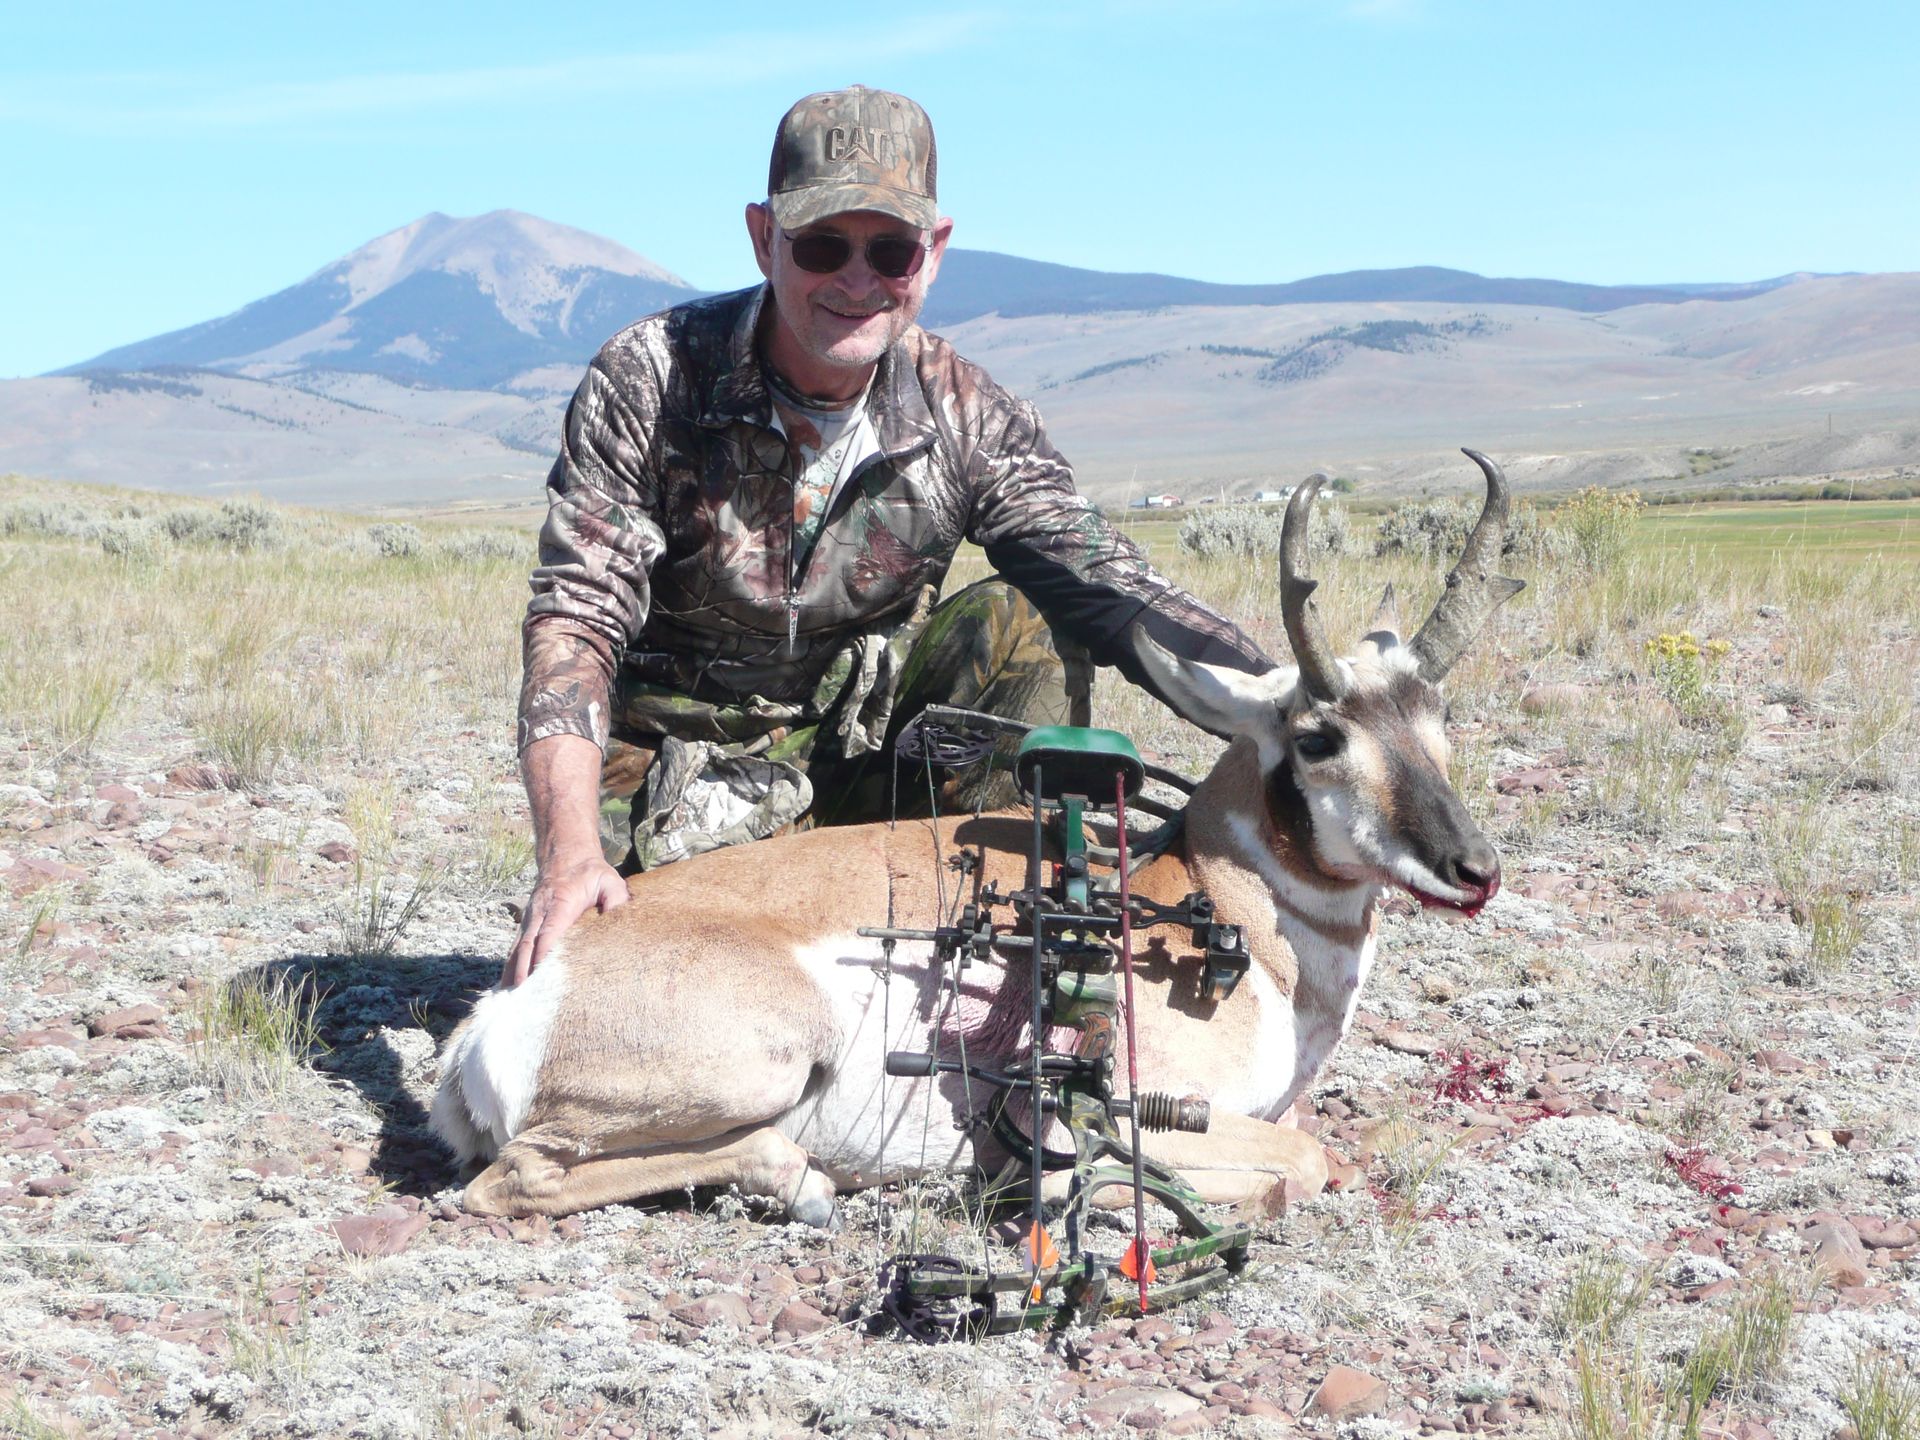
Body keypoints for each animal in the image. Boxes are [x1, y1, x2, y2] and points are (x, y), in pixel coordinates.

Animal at [431, 451, 1523, 1226]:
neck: (1227, 909)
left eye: (1437, 714)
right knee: (513, 1180)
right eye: (1318, 735)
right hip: (764, 1060)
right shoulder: (1164, 1112)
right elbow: (1304, 1163)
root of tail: (510, 1002)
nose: (1474, 870)